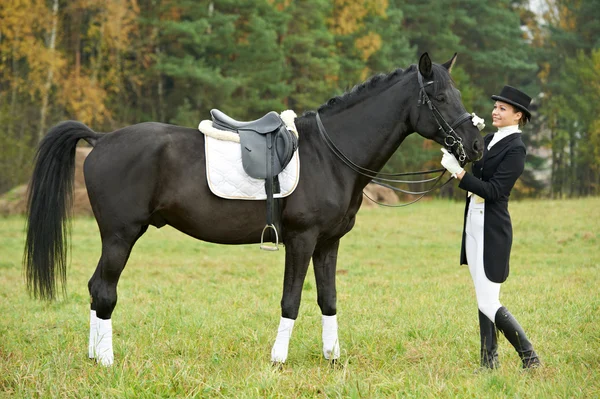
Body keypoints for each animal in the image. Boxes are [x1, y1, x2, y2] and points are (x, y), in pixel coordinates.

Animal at [23, 52, 482, 366]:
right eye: (441, 97)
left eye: (458, 93)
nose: (476, 146)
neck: (330, 154)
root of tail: (100, 140)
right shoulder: (302, 240)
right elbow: (291, 300)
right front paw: (278, 359)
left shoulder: (329, 243)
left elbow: (329, 299)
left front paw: (332, 357)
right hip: (120, 236)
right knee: (104, 289)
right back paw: (106, 361)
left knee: (95, 288)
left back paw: (93, 356)